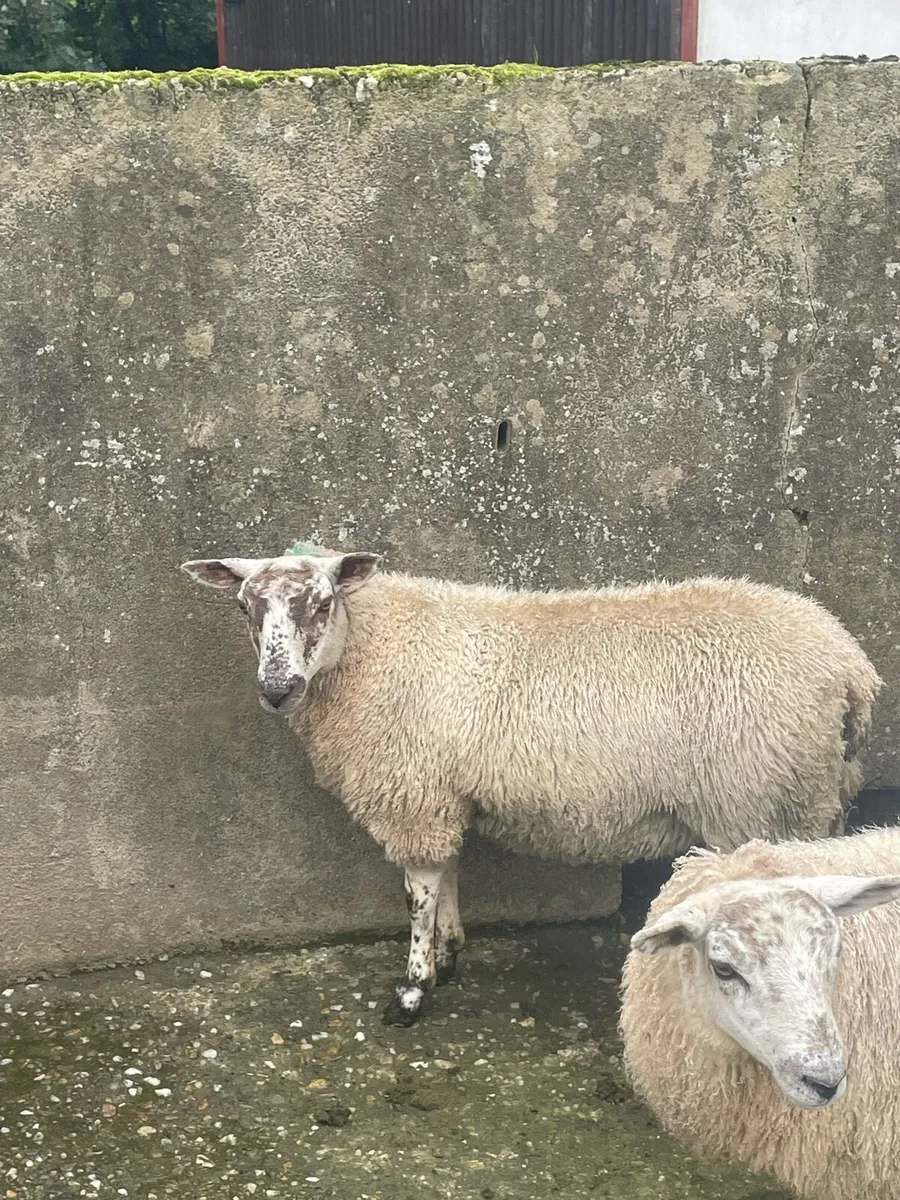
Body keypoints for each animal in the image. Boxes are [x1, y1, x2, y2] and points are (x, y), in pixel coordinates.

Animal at [180, 549, 880, 1025]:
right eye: (245, 608)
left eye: (321, 603)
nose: (277, 690)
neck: (373, 648)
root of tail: (851, 669)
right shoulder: (441, 791)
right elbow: (449, 870)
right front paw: (449, 956)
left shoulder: (412, 792)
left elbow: (417, 893)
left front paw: (411, 991)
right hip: (813, 796)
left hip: (767, 797)